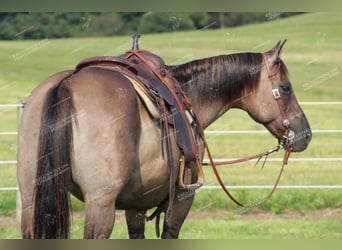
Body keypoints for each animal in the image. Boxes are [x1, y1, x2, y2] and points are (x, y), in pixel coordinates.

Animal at [17, 39, 312, 238]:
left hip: (32, 197)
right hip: (100, 204)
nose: (306, 134)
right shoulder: (182, 196)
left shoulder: (135, 204)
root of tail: (66, 84)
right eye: (285, 87)